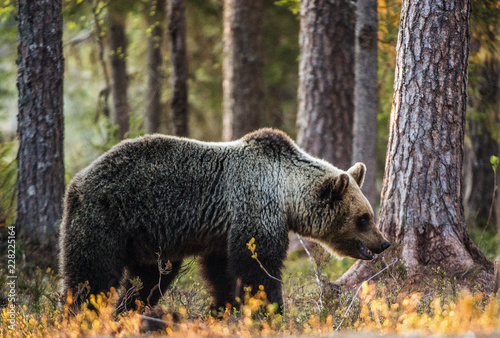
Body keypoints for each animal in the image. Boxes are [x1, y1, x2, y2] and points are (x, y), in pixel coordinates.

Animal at [60, 128, 390, 312]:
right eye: (363, 218)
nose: (384, 242)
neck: (286, 193)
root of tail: (77, 180)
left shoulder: (221, 231)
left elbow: (221, 273)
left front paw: (222, 309)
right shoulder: (255, 205)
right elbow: (258, 267)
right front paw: (270, 311)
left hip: (149, 242)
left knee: (147, 280)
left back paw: (127, 311)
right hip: (106, 218)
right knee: (91, 275)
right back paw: (82, 316)